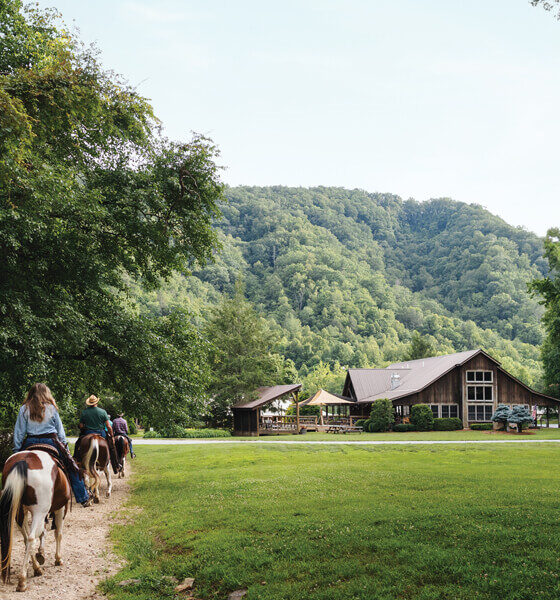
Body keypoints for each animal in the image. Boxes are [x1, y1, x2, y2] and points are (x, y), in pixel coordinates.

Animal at [0, 449, 70, 591]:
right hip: (39, 512)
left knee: (27, 538)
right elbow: (58, 534)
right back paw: (22, 581)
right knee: (31, 538)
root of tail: (24, 459)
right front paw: (58, 559)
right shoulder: (60, 509)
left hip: (18, 512)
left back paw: (36, 568)